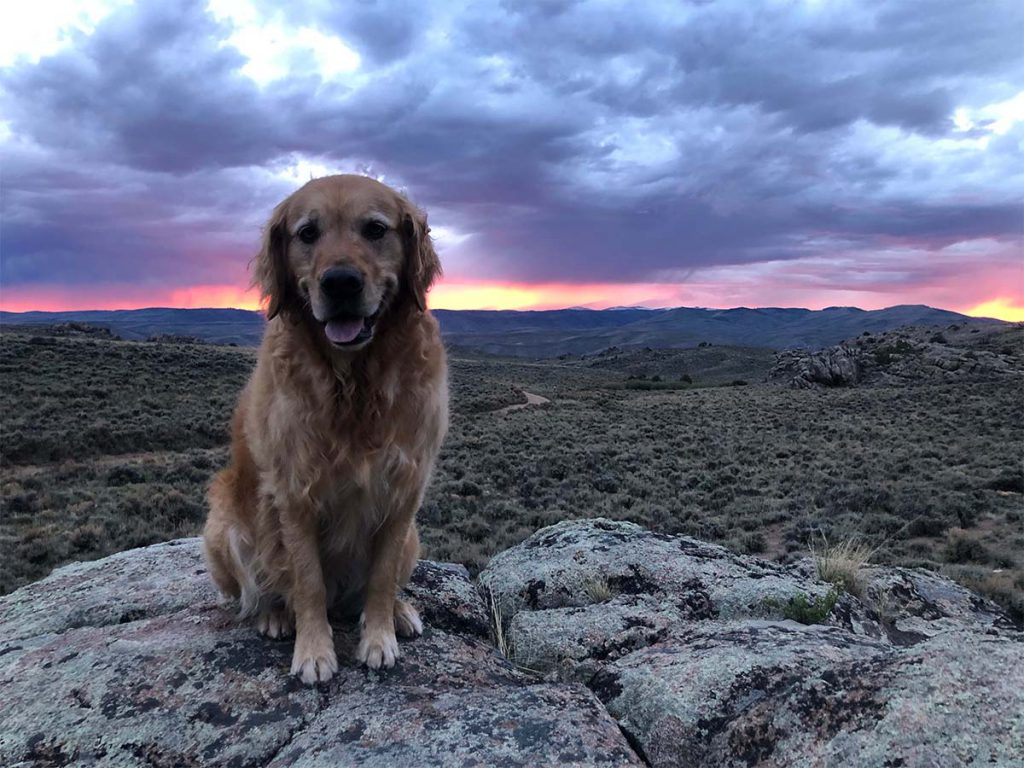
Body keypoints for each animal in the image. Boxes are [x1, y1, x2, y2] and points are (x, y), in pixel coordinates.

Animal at [203, 176, 448, 684]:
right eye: (307, 233)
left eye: (375, 229)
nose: (340, 283)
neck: (354, 381)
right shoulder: (294, 492)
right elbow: (307, 581)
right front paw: (313, 651)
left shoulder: (404, 490)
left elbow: (381, 577)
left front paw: (379, 636)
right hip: (224, 529)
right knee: (265, 585)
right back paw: (275, 615)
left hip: (413, 540)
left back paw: (400, 611)